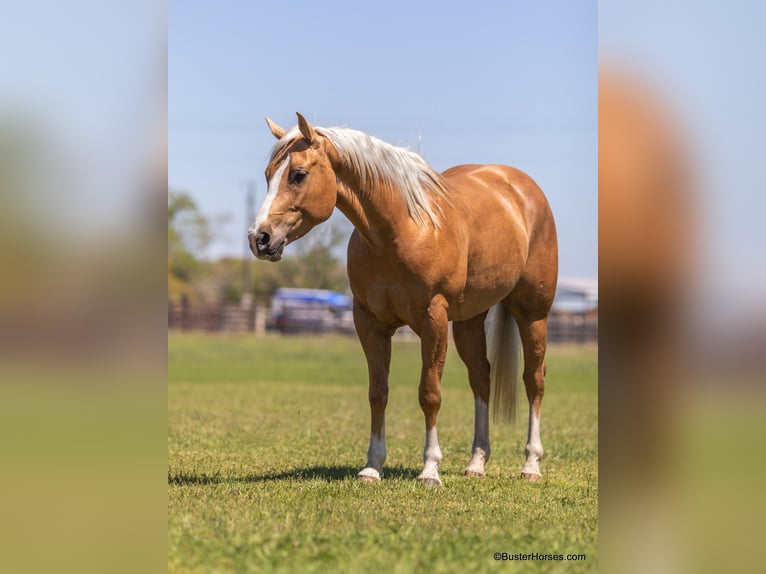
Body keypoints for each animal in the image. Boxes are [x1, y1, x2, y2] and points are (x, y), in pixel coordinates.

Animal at [250, 115, 560, 488]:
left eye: (297, 174)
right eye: (268, 174)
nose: (259, 238)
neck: (401, 230)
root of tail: (522, 188)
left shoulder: (433, 321)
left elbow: (429, 394)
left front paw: (430, 470)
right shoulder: (369, 323)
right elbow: (378, 392)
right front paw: (372, 467)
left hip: (532, 313)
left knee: (534, 380)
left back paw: (531, 465)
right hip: (469, 321)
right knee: (481, 378)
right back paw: (477, 463)